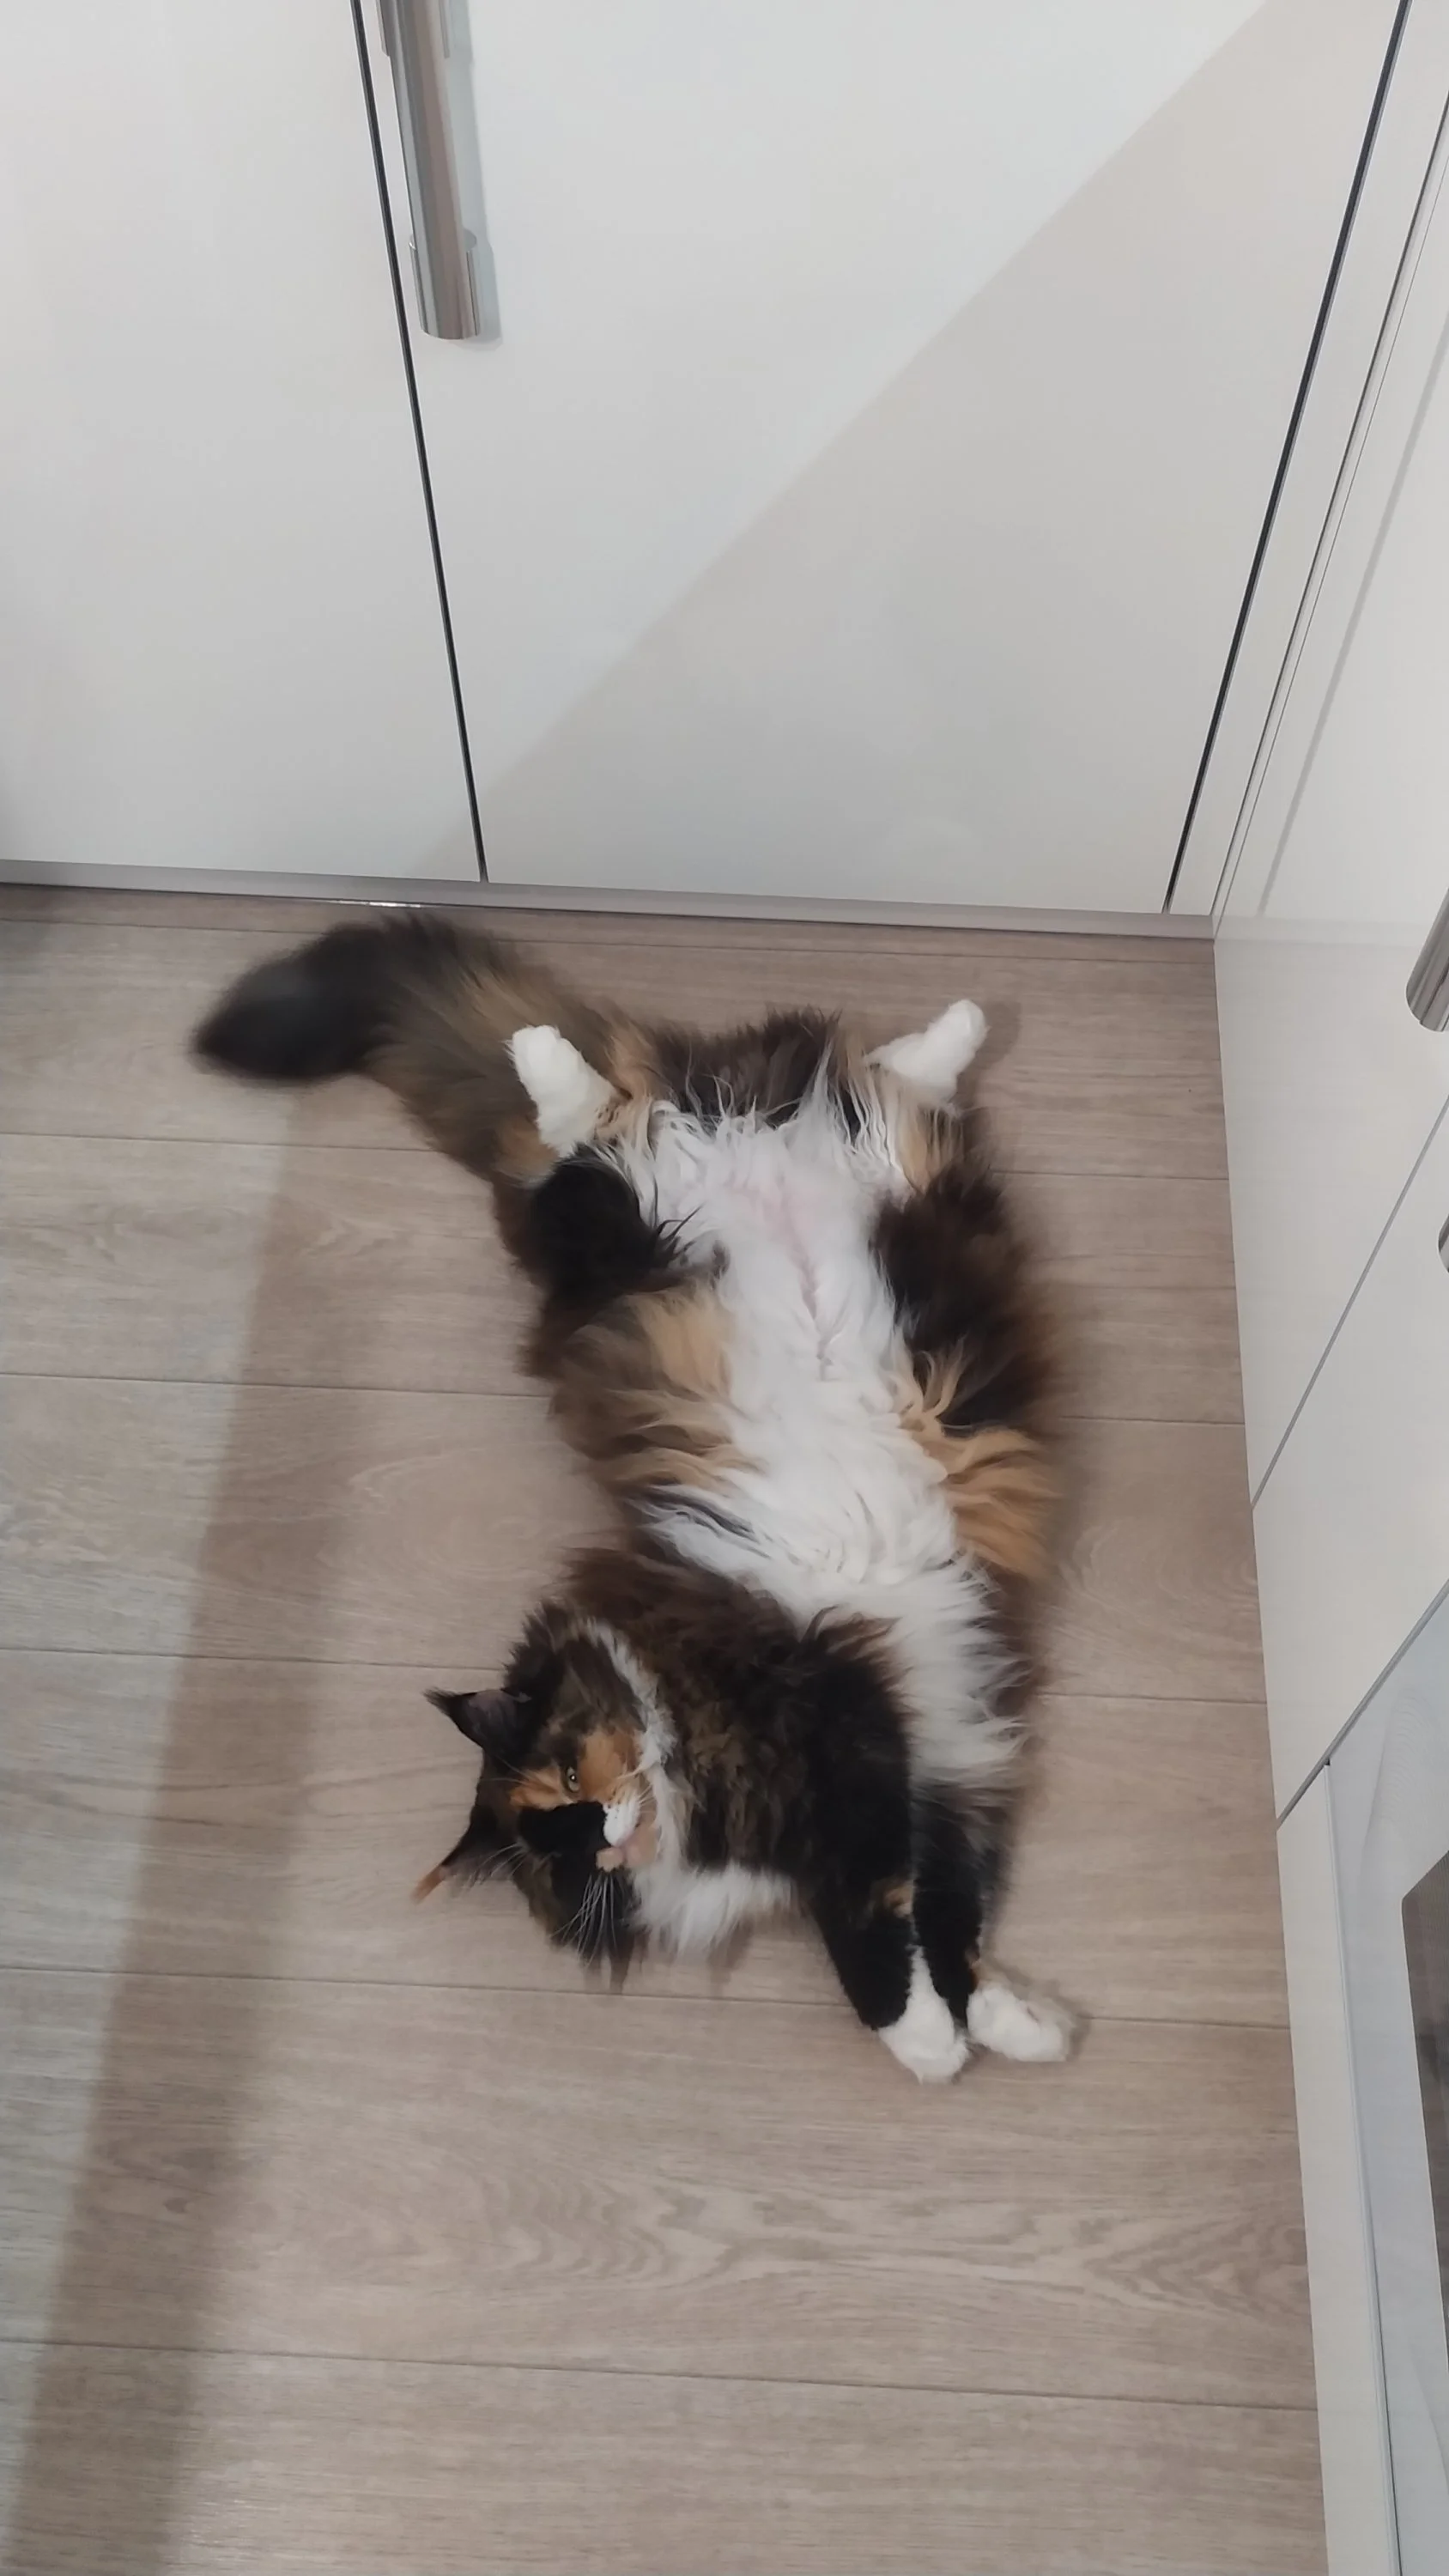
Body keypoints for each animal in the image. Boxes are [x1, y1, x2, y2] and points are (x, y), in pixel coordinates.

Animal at [195, 912, 1073, 2082]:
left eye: (567, 1777)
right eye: (568, 1853)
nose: (607, 1830)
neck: (670, 1737)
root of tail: (730, 1142)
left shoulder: (859, 1748)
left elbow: (894, 1928)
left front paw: (962, 2035)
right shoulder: (916, 1773)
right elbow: (923, 1928)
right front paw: (988, 2031)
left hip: (628, 1236)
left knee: (582, 1133)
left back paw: (544, 1051)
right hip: (795, 1201)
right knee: (868, 1083)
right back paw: (945, 1033)